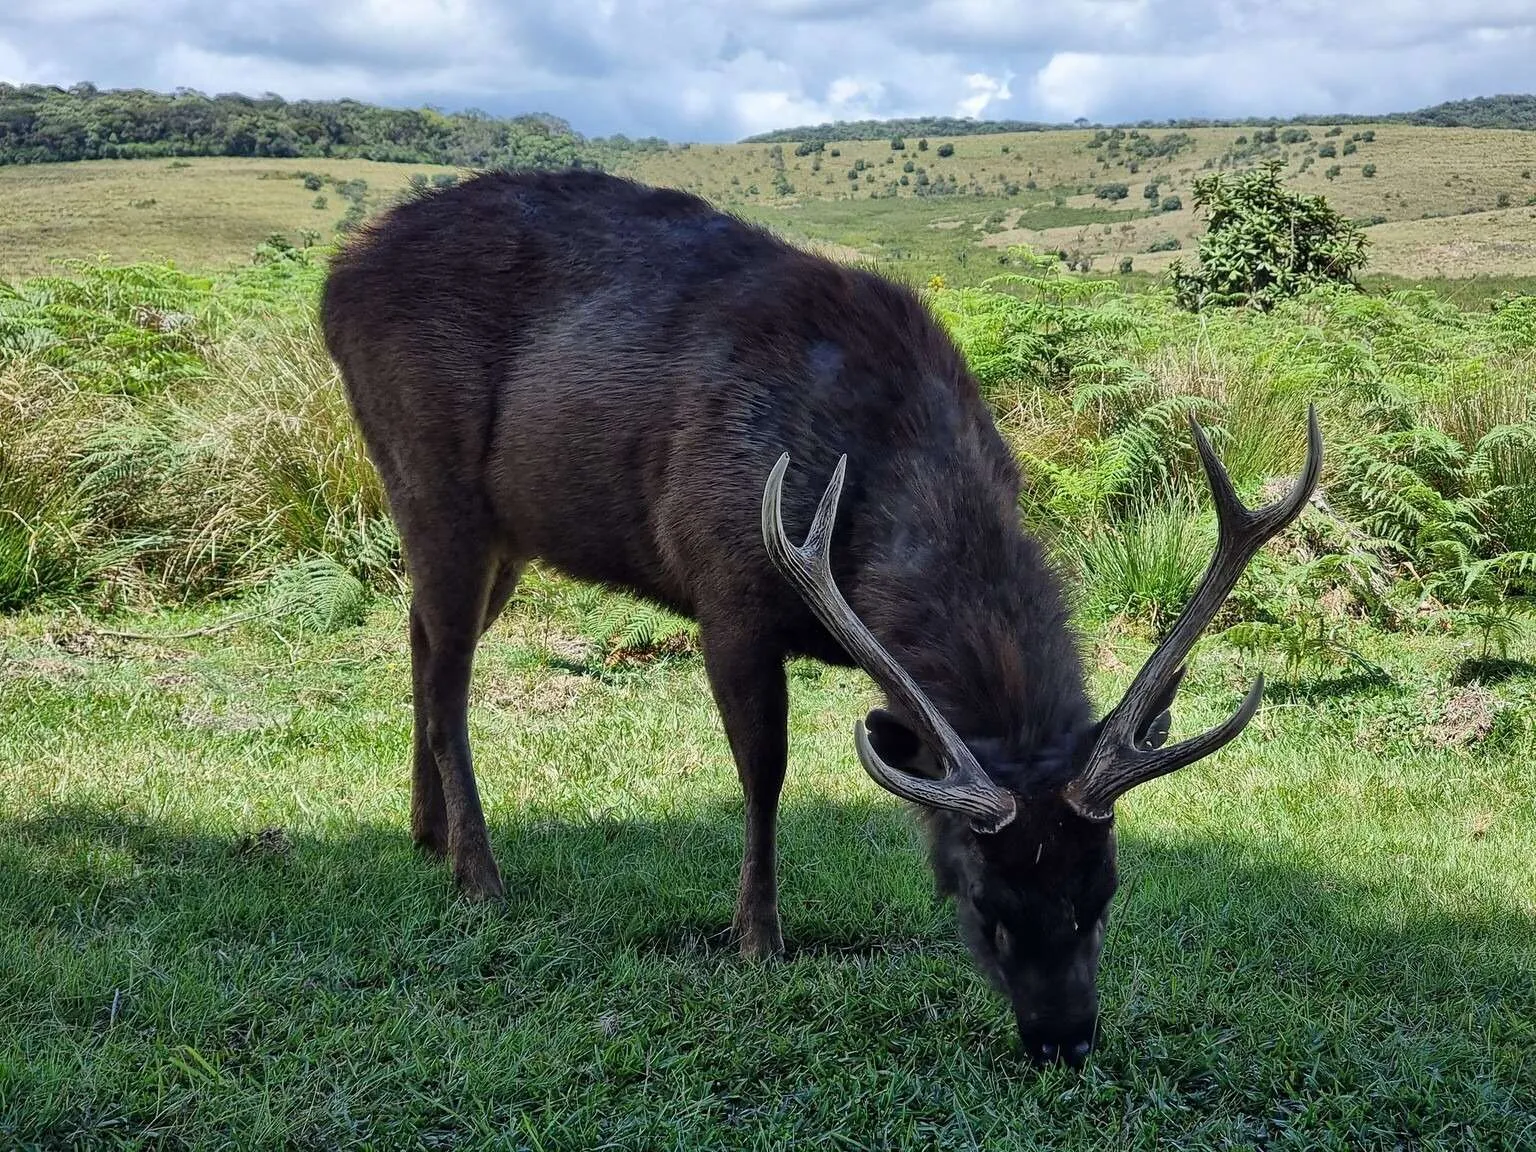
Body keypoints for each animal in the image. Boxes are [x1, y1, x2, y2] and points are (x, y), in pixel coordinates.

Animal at [320, 168, 1321, 1068]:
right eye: (983, 903)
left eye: (1104, 893)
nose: (1065, 1041)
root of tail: (338, 277)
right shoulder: (725, 586)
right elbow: (764, 772)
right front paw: (757, 938)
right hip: (428, 472)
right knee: (448, 673)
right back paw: (478, 874)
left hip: (506, 531)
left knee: (419, 637)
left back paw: (425, 833)